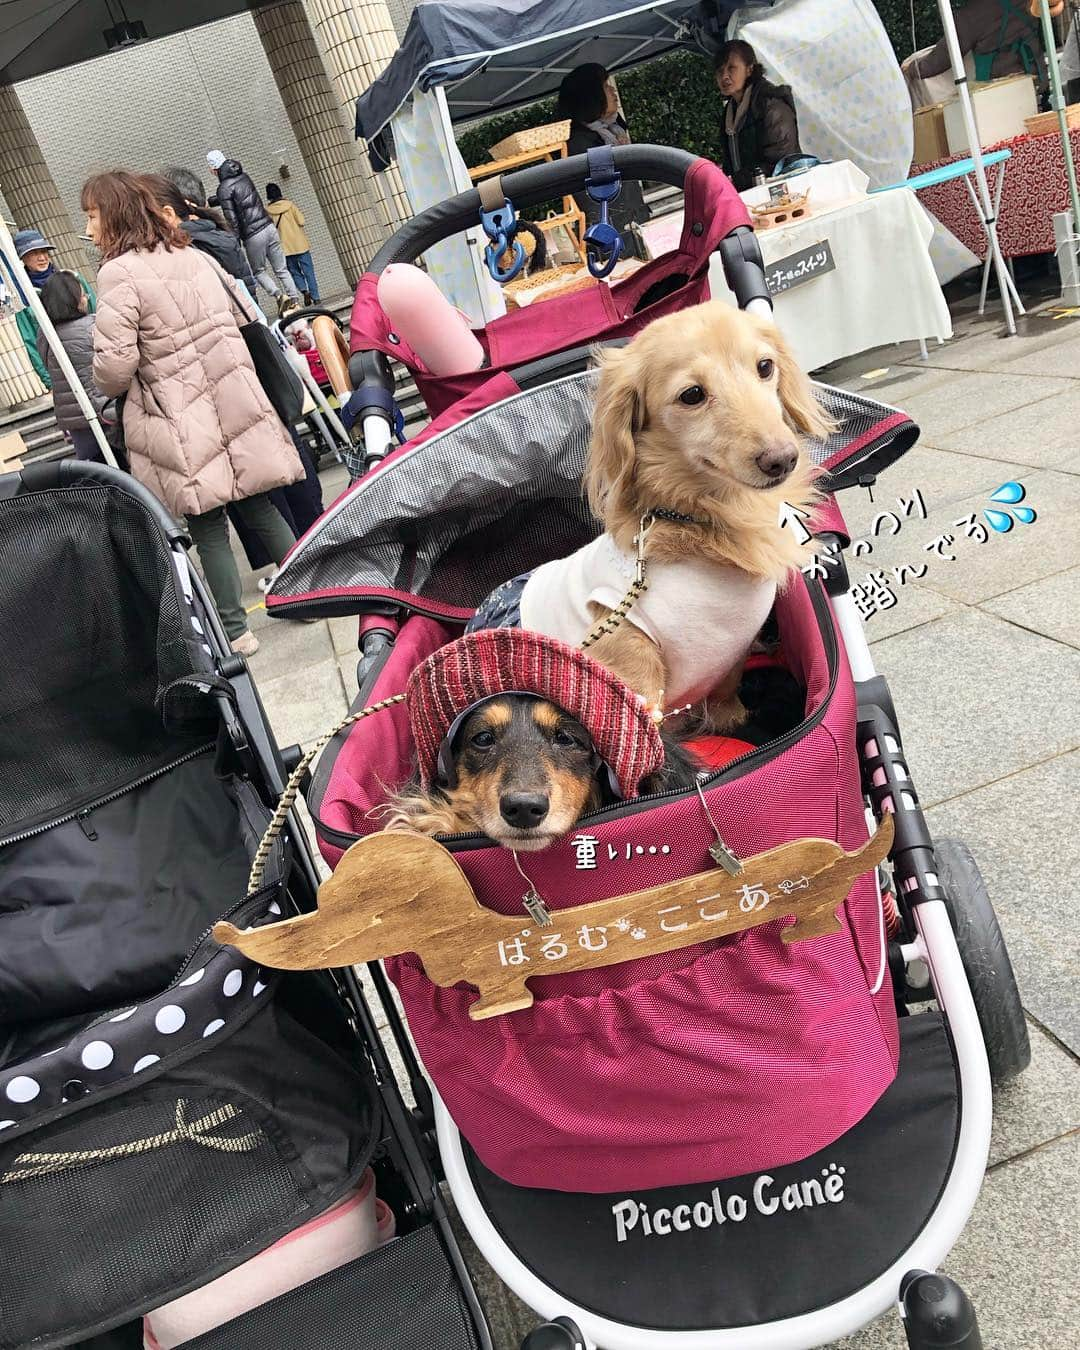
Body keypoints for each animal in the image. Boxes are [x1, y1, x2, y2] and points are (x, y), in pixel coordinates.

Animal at [255, 145, 1031, 1350]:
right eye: (689, 395)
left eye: (766, 367)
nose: (778, 457)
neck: (696, 534)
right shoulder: (639, 681)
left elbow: (737, 692)